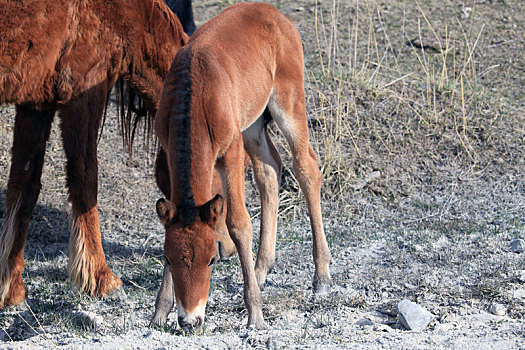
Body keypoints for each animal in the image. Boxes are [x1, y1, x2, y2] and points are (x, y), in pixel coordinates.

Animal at [0, 0, 188, 308]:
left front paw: (11, 287)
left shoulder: (36, 103)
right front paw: (101, 279)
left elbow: (23, 187)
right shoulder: (83, 92)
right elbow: (84, 178)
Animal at [151, 3, 332, 330]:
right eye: (168, 259)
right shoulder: (169, 150)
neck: (194, 91)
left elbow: (238, 223)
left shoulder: (231, 152)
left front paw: (255, 314)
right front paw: (160, 311)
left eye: (211, 259)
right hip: (253, 124)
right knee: (270, 171)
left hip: (288, 102)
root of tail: (275, 14)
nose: (190, 319)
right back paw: (260, 270)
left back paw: (321, 276)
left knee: (306, 168)